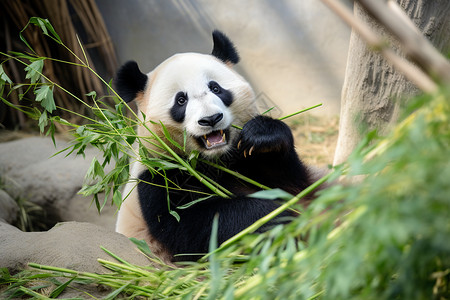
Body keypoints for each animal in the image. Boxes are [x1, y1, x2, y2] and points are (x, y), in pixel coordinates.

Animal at [114, 30, 314, 262]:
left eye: (216, 88)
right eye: (181, 100)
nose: (211, 119)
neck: (216, 159)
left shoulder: (245, 161)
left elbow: (293, 185)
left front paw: (263, 137)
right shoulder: (158, 177)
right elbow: (195, 226)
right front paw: (273, 218)